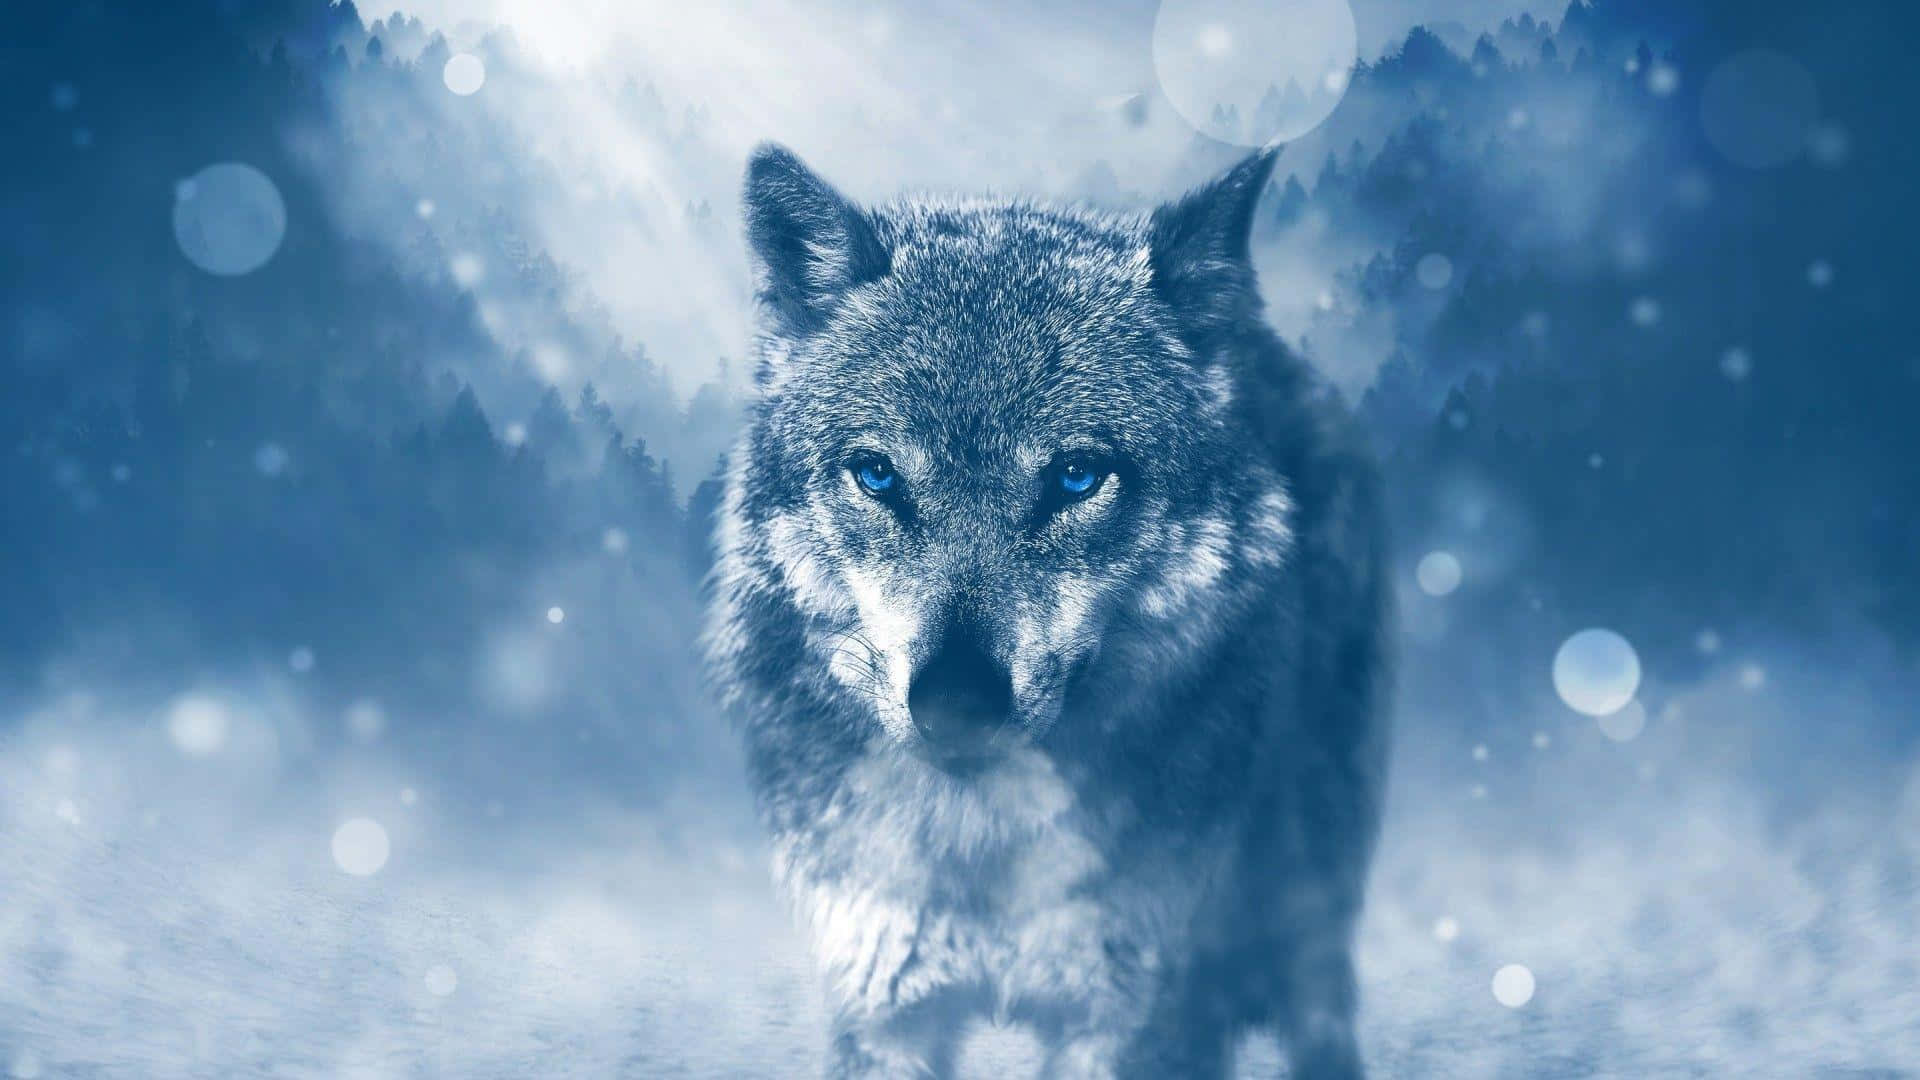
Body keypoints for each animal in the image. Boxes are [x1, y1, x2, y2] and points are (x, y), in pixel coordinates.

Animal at [704, 142, 1391, 1079]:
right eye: (878, 474)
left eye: (1076, 476)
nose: (957, 702)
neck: (984, 847)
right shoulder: (883, 1007)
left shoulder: (1130, 1016)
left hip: (1306, 896)